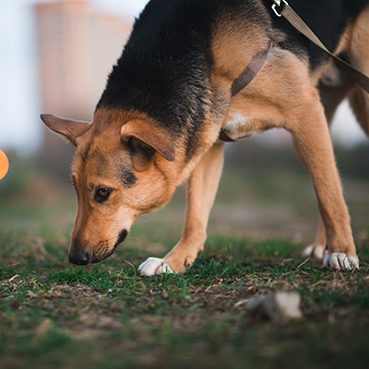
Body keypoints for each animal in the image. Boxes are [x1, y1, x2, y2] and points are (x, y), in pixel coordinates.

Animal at [41, 0, 368, 274]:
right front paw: (173, 261)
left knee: (327, 185)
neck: (198, 49)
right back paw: (320, 245)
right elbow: (195, 216)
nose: (75, 258)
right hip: (310, 134)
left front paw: (342, 252)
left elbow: (329, 194)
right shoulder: (205, 141)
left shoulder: (304, 111)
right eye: (75, 189)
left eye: (103, 193)